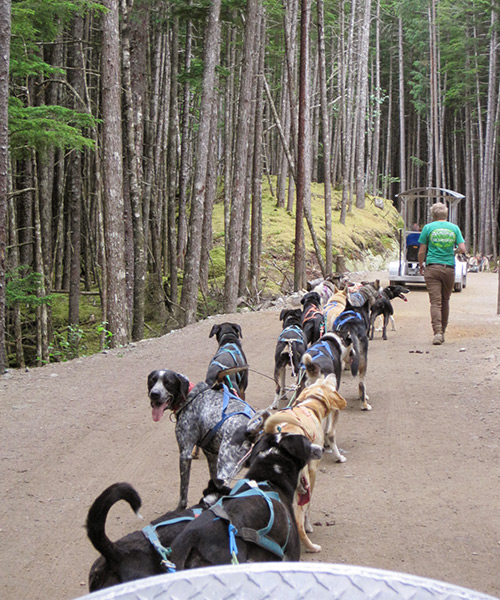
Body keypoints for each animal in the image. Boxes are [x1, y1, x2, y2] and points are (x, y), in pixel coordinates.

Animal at [145, 368, 254, 508]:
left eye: (168, 383)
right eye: (152, 381)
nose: (154, 394)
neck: (190, 396)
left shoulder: (185, 455)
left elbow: (183, 494)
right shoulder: (212, 457)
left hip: (225, 472)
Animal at [260, 376, 346, 552]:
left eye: (321, 379)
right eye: (326, 380)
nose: (332, 374)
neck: (310, 405)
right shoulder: (312, 471)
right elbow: (309, 507)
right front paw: (309, 525)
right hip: (301, 488)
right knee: (298, 521)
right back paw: (311, 546)